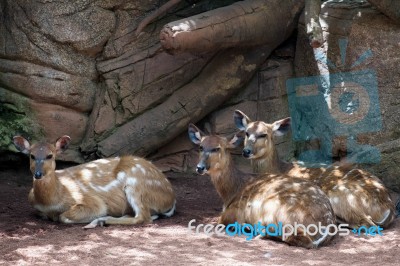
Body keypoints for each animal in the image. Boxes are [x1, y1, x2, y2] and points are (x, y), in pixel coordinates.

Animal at [13, 135, 176, 229]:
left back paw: (99, 221)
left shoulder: (92, 201)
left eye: (50, 155)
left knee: (143, 217)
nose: (38, 174)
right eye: (32, 155)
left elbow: (63, 217)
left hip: (135, 183)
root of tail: (171, 197)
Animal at [189, 123, 336, 248]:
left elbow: (220, 221)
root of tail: (328, 224)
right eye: (201, 147)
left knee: (298, 238)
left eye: (217, 148)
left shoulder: (234, 211)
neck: (232, 192)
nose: (199, 167)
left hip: (277, 209)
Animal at [234, 110, 396, 229]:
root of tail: (389, 207)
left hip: (340, 195)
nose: (246, 151)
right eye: (247, 133)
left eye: (263, 134)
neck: (281, 169)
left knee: (367, 223)